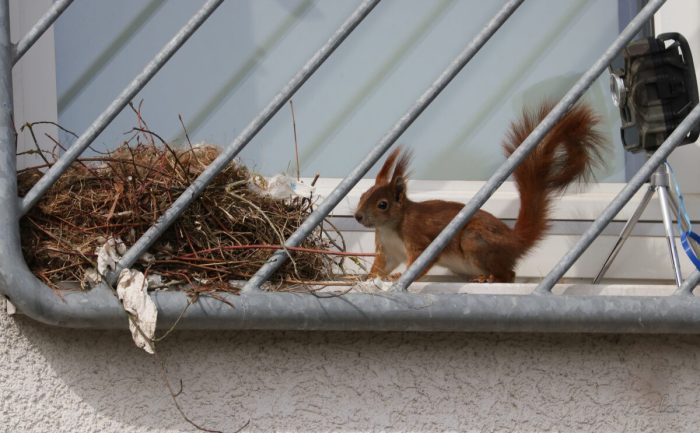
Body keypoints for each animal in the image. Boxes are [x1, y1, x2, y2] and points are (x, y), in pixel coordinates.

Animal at [356, 102, 608, 282]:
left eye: (382, 204)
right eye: (362, 195)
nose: (357, 216)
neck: (390, 227)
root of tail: (514, 241)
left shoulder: (418, 239)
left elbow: (419, 264)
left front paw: (401, 276)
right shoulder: (387, 251)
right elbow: (380, 267)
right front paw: (368, 277)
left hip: (474, 240)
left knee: (509, 275)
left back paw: (489, 278)